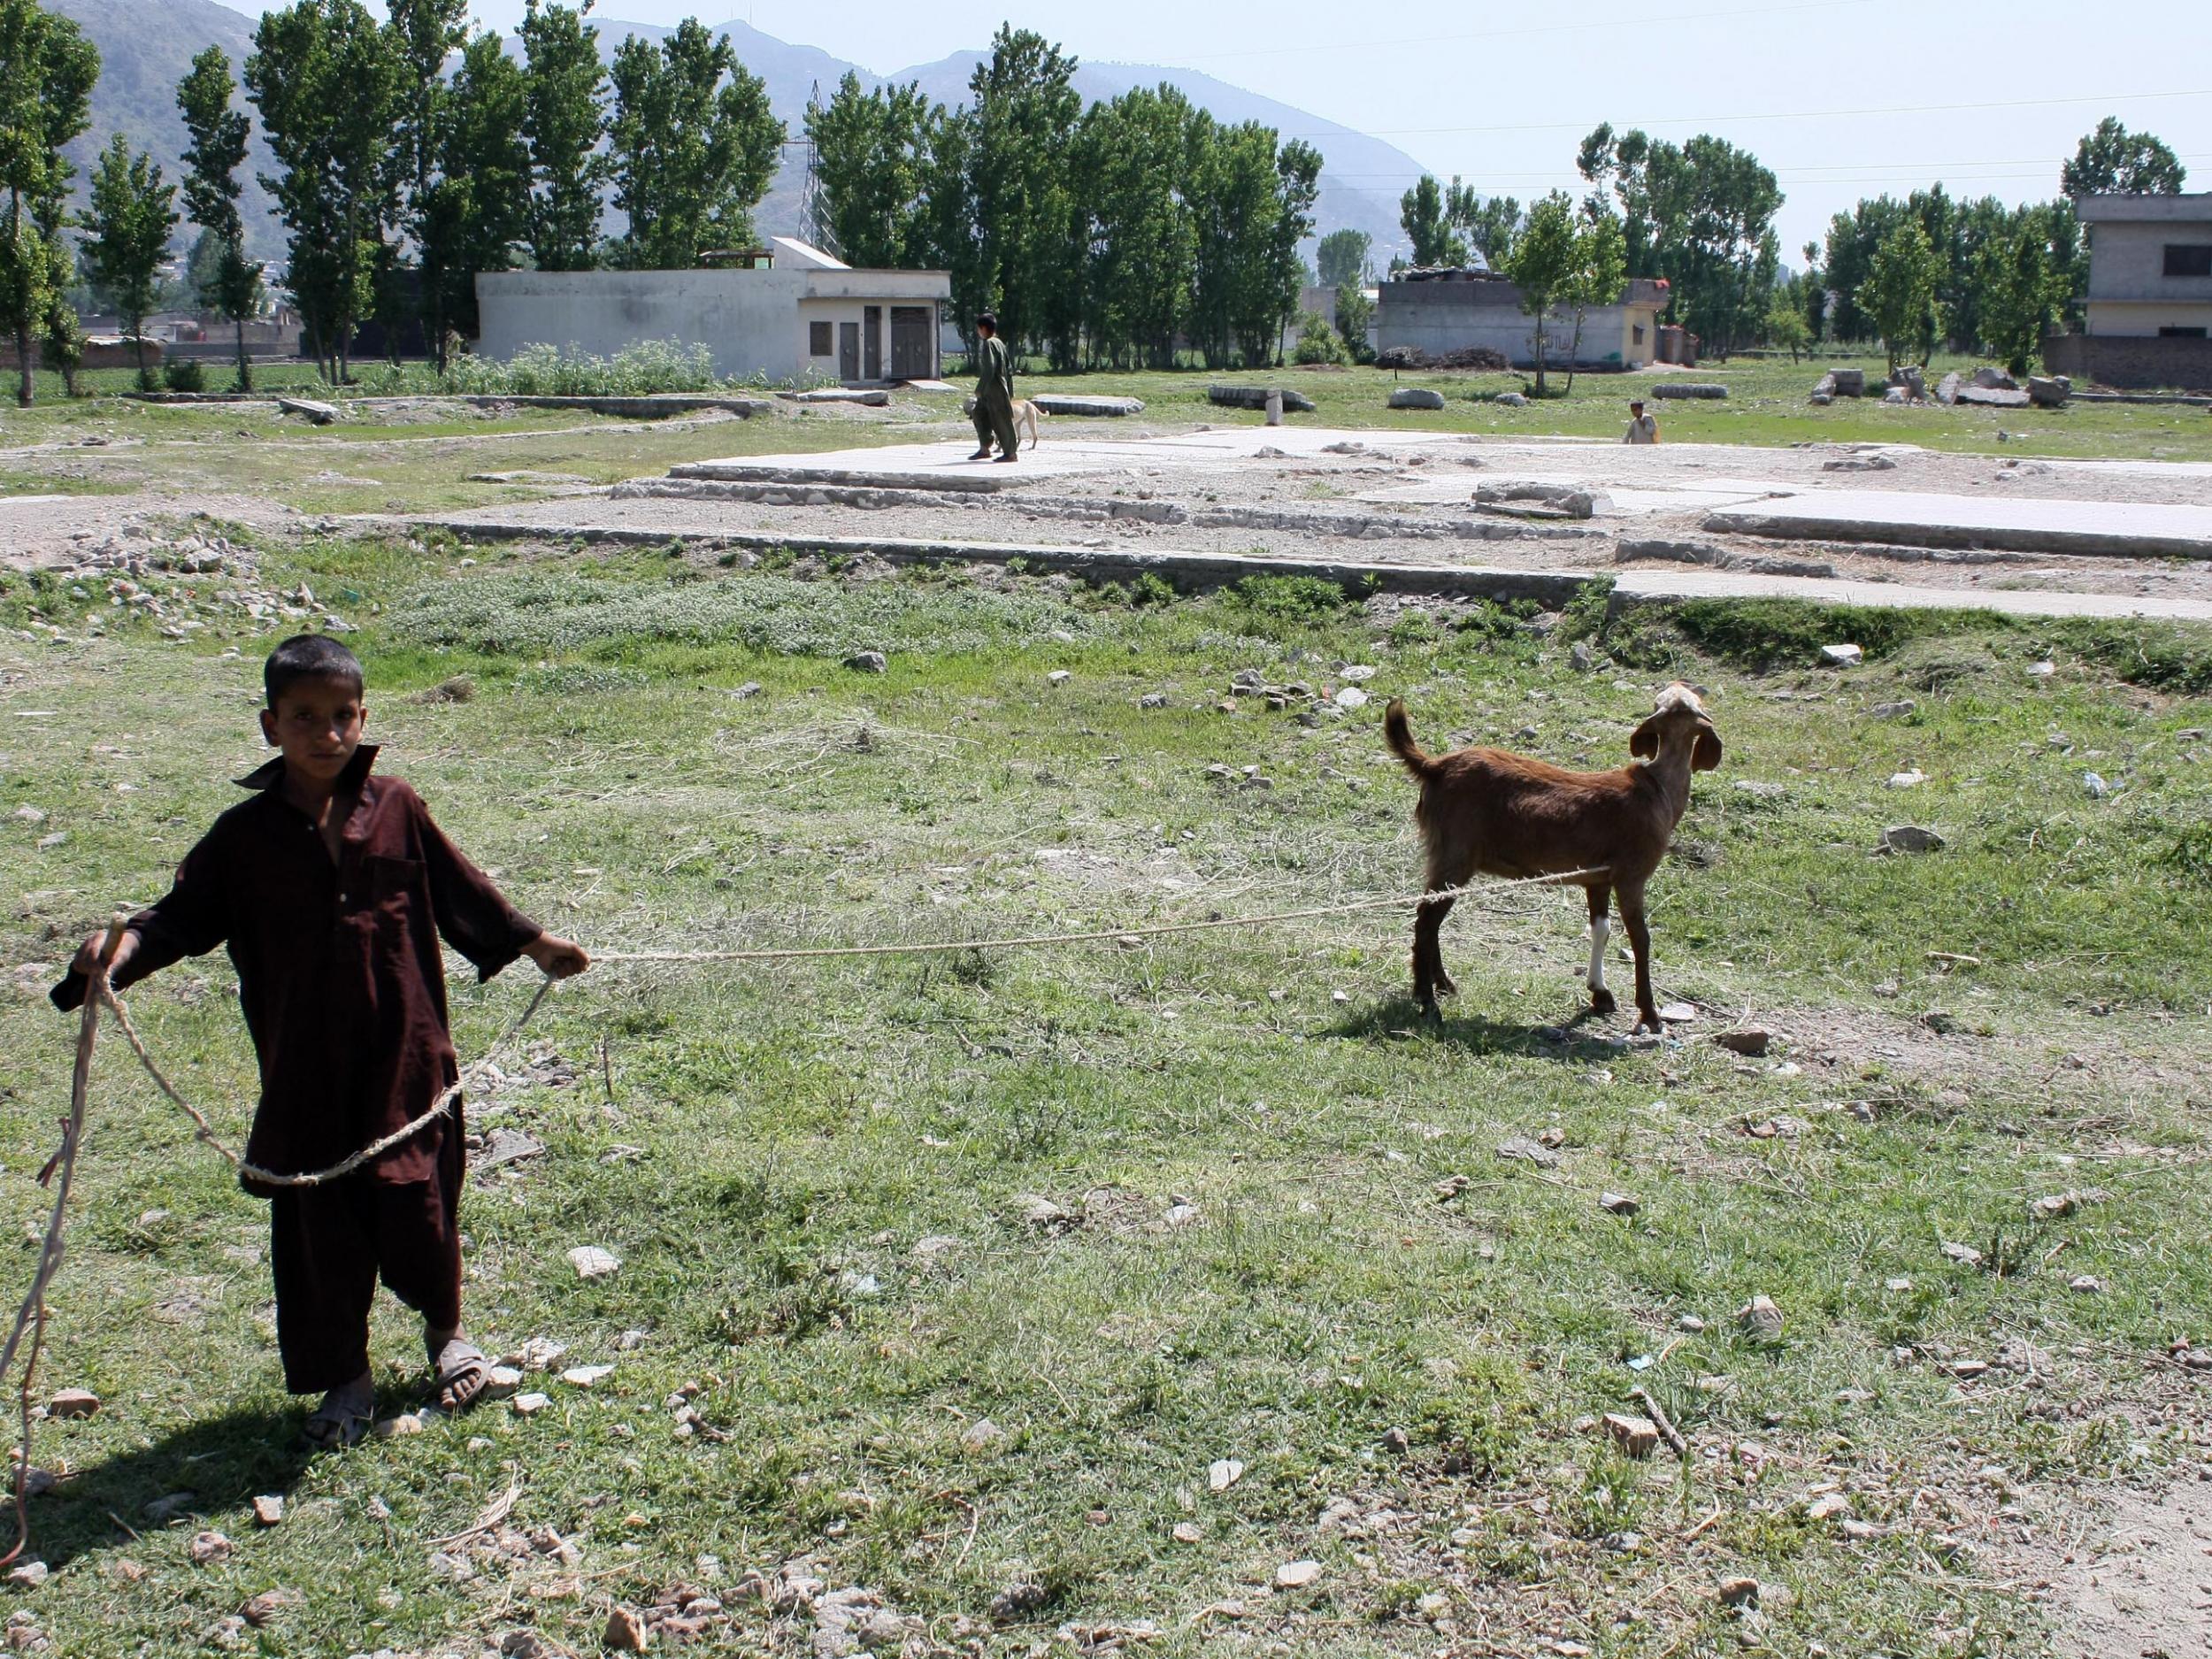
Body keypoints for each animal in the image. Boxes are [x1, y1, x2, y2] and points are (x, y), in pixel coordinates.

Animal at [1380, 681, 1725, 1035]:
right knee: (1426, 918)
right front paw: (1649, 1014)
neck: (1659, 791)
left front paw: (1600, 994)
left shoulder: (1597, 878)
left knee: (1430, 915)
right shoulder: (1631, 874)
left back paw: (1441, 985)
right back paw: (1426, 998)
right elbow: (1640, 939)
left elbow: (1601, 929)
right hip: (1455, 853)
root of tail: (1433, 767)